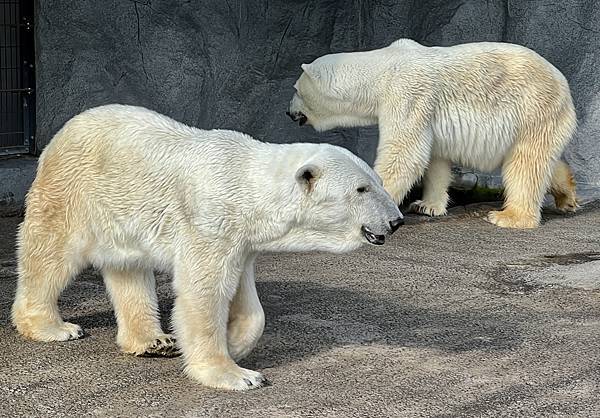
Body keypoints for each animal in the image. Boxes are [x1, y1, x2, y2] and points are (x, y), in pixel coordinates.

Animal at [10, 104, 404, 392]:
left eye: (376, 181)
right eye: (362, 189)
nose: (396, 220)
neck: (249, 187)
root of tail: (59, 136)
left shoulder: (241, 238)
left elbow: (249, 301)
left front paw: (236, 343)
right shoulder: (210, 222)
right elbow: (204, 292)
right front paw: (236, 374)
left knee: (128, 268)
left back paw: (154, 341)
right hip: (73, 193)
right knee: (50, 254)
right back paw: (53, 326)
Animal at [288, 38, 580, 229]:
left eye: (296, 89)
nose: (289, 112)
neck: (384, 68)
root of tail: (564, 86)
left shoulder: (407, 93)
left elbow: (404, 153)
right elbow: (435, 159)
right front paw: (426, 205)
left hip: (534, 110)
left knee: (525, 163)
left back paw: (510, 217)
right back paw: (567, 196)